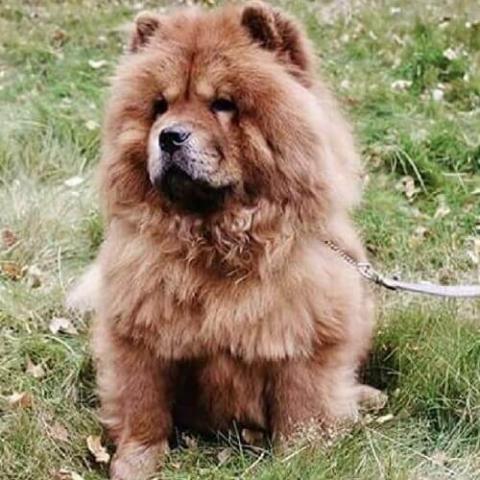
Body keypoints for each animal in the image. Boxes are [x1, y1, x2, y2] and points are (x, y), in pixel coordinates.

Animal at [71, 1, 378, 478]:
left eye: (223, 104)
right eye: (159, 106)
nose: (169, 136)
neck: (216, 237)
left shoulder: (305, 337)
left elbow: (302, 410)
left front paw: (303, 460)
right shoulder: (138, 331)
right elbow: (143, 405)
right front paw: (135, 463)